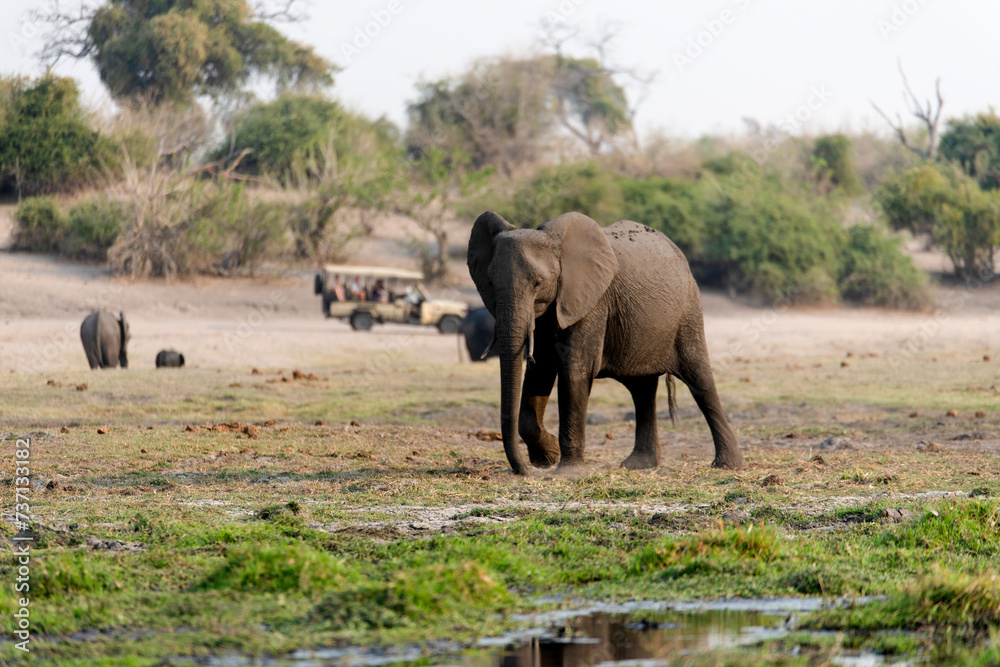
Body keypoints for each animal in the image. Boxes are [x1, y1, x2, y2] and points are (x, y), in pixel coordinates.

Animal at [467, 211, 745, 475]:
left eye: (538, 283)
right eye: (490, 282)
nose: (524, 471)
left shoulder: (593, 302)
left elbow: (575, 371)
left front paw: (565, 472)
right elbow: (540, 371)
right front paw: (548, 457)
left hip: (687, 312)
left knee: (700, 380)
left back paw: (728, 465)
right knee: (642, 390)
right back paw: (639, 465)